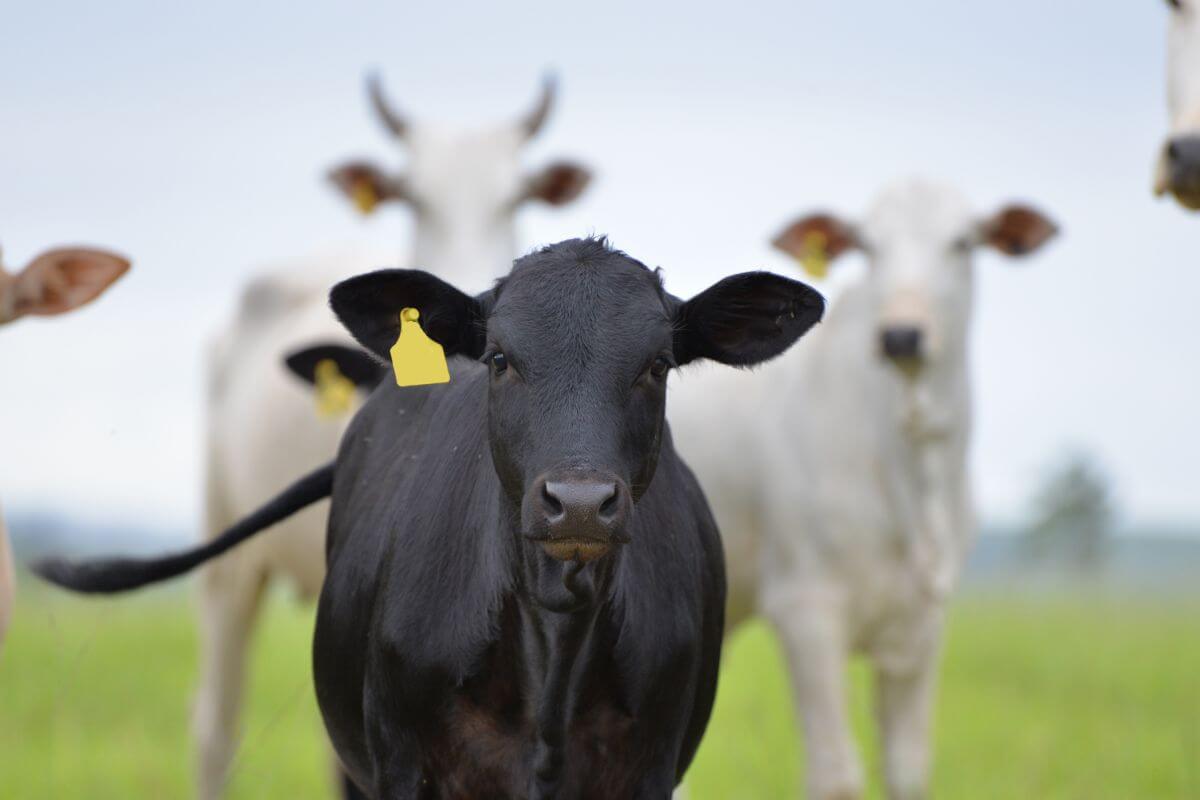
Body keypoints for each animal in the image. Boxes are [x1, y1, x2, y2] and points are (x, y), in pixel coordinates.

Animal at [667, 179, 1060, 800]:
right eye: (869, 247)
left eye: (963, 242)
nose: (902, 334)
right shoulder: (805, 608)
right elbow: (837, 774)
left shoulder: (925, 622)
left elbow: (907, 768)